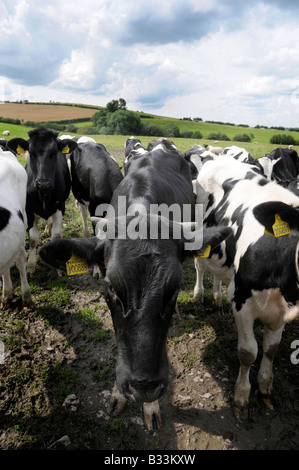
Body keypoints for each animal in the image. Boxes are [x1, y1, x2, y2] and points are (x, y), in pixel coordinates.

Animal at [7, 129, 78, 276]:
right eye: (31, 153)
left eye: (54, 153)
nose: (43, 183)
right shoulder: (29, 209)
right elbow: (33, 239)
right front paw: (30, 265)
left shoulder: (60, 206)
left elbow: (56, 236)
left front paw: (58, 267)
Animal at [195, 156, 299, 420]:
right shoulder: (242, 300)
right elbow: (248, 352)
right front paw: (241, 397)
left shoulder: (280, 311)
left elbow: (271, 349)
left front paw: (265, 389)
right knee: (199, 267)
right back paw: (199, 296)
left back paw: (217, 299)